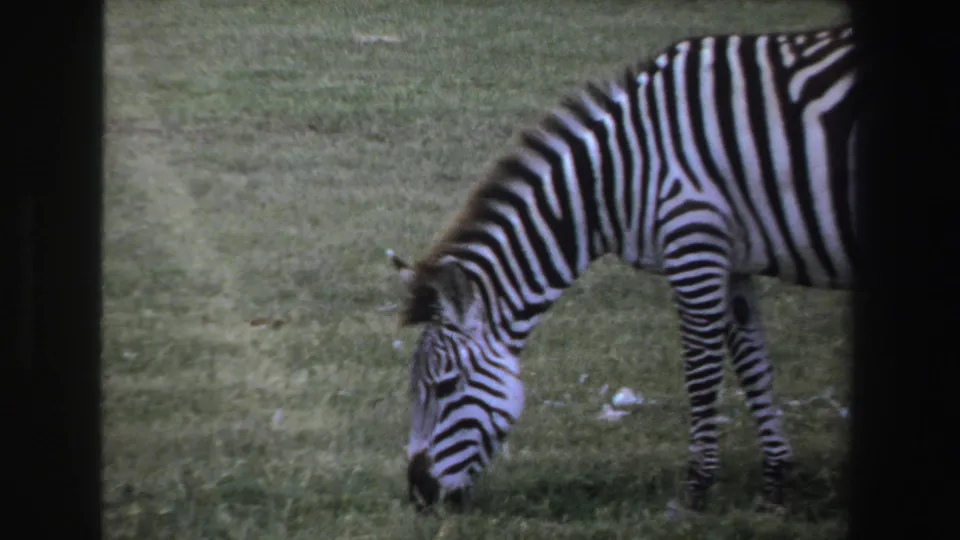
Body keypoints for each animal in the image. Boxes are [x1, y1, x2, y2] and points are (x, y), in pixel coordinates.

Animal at [389, 23, 859, 513]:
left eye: (445, 387)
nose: (419, 495)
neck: (618, 176)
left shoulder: (694, 243)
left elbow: (701, 372)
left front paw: (697, 488)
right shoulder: (732, 260)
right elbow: (753, 368)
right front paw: (775, 482)